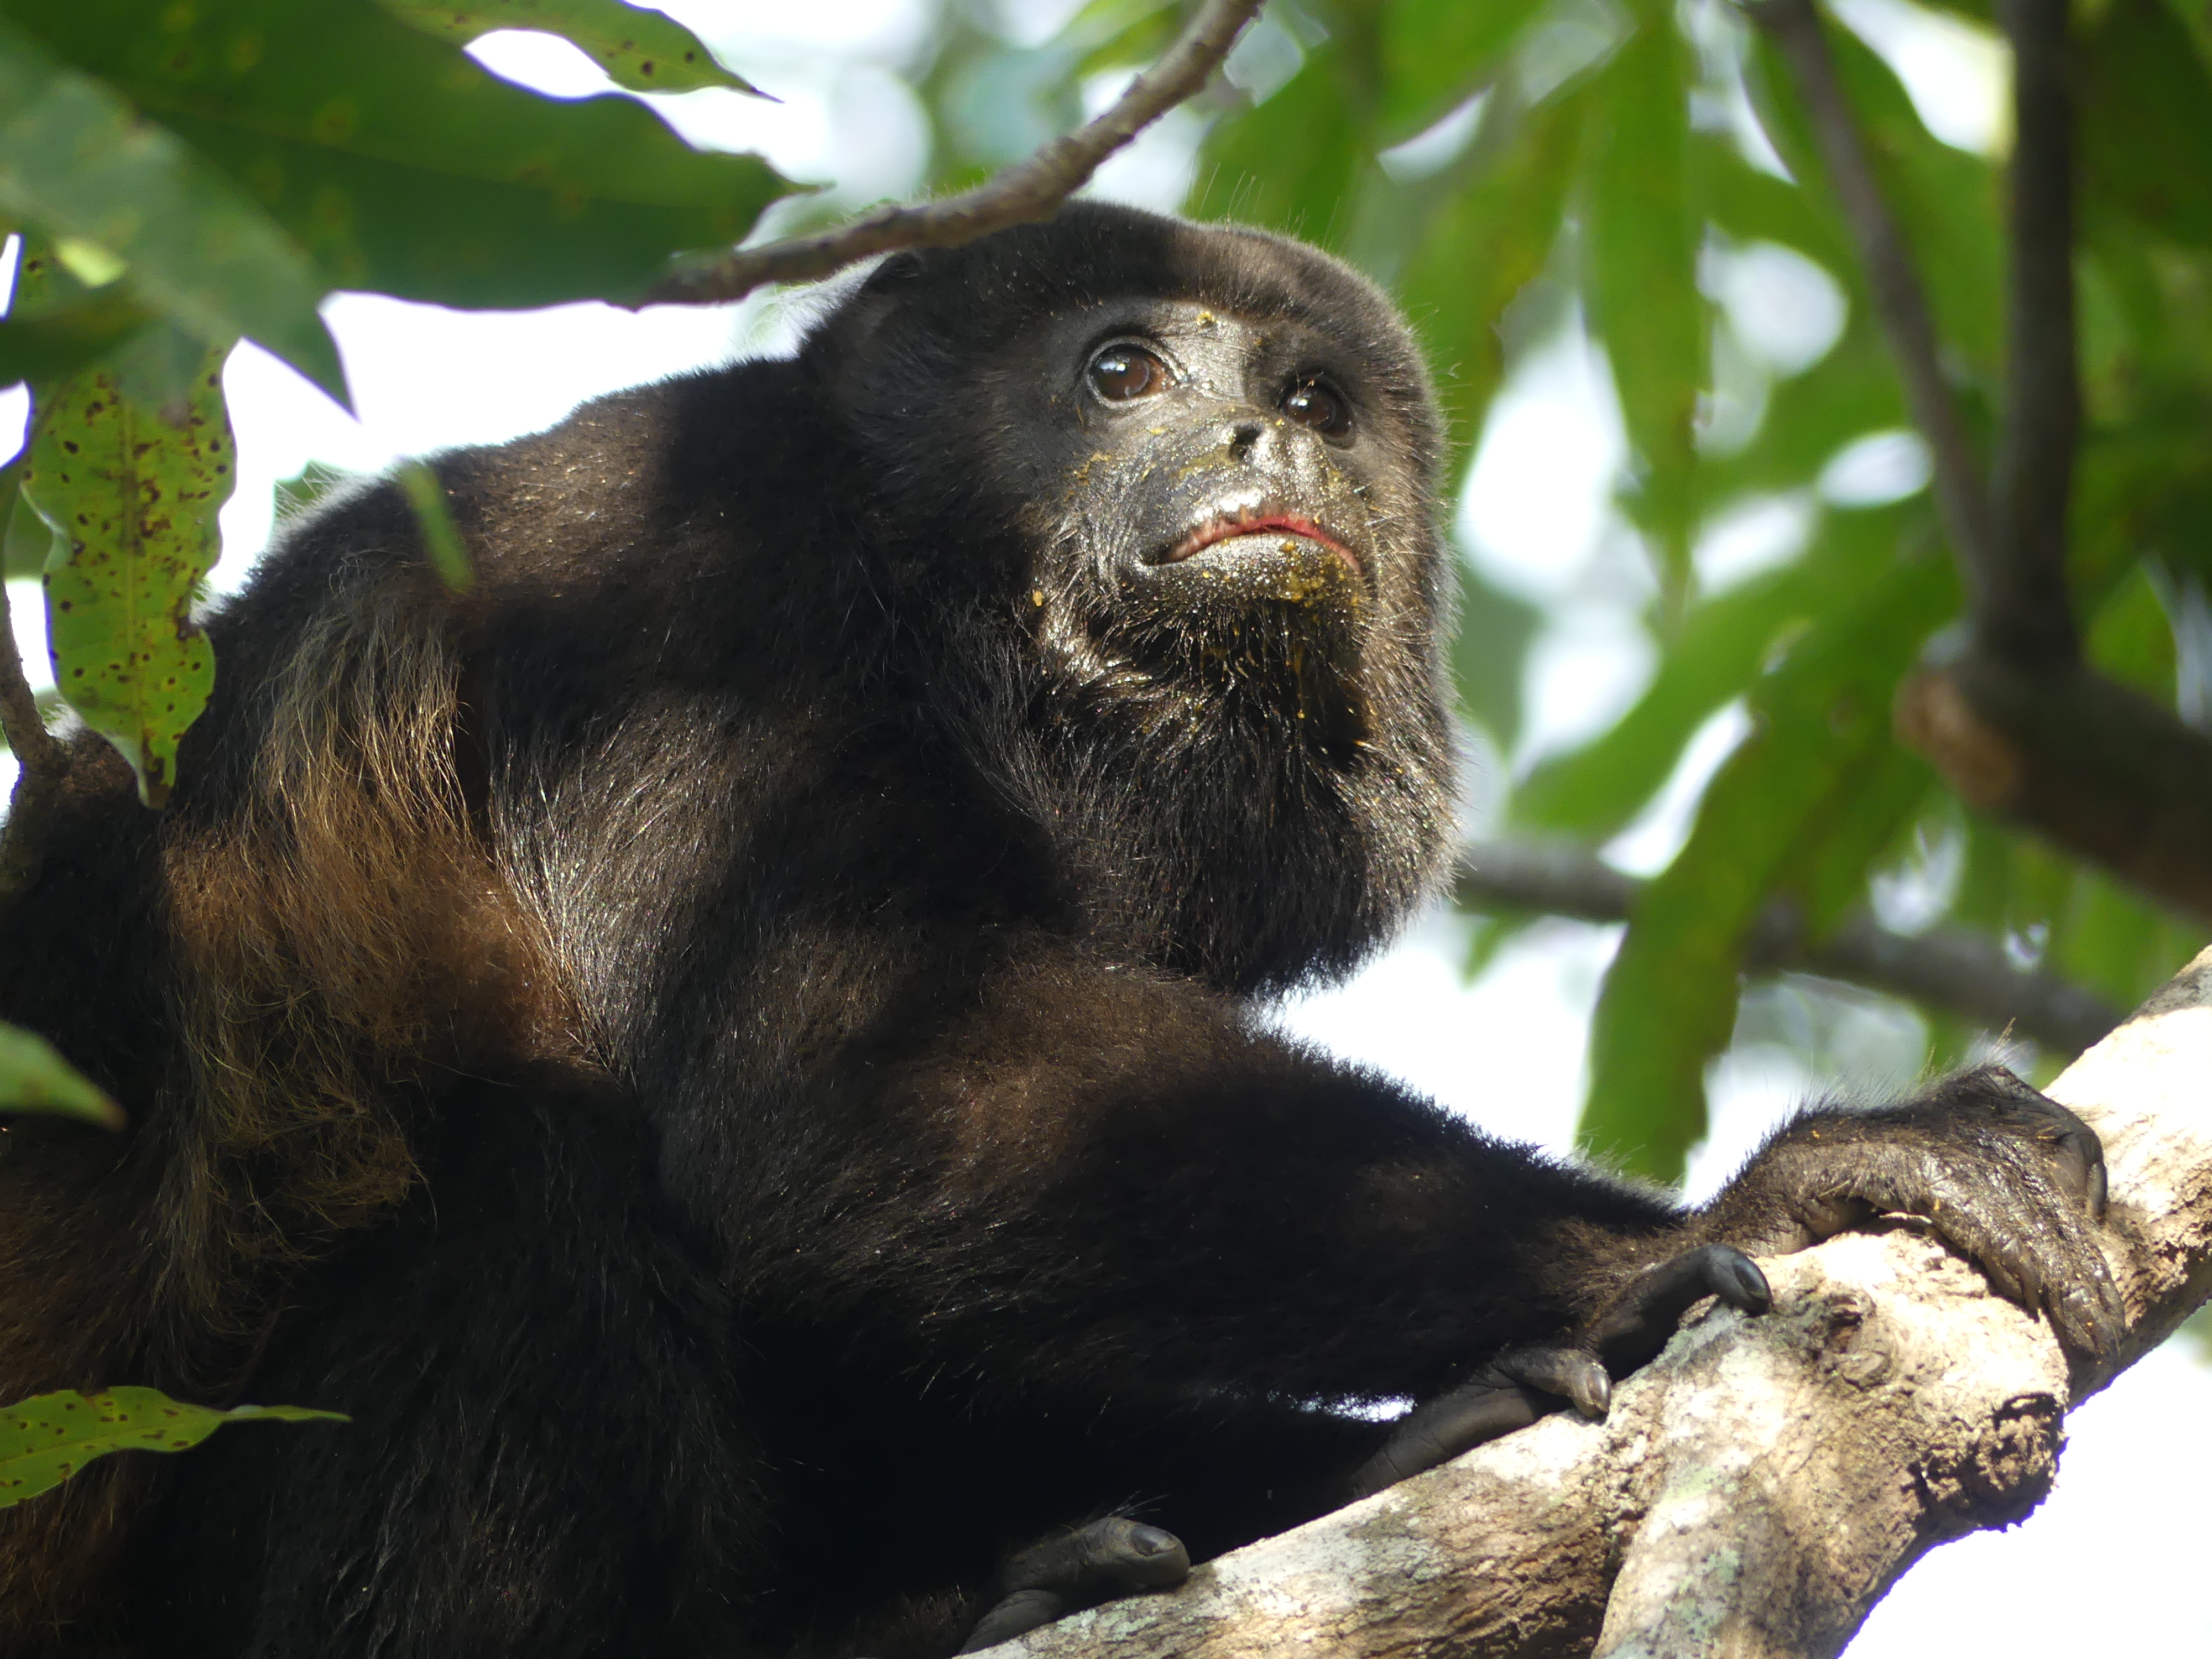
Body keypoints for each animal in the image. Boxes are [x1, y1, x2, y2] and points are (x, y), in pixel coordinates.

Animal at [0, 203, 2118, 1659]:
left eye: (1313, 399)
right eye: (1122, 373)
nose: (1271, 453)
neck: (943, 626)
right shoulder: (678, 593)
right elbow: (827, 1084)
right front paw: (1704, 1226)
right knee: (527, 1174)